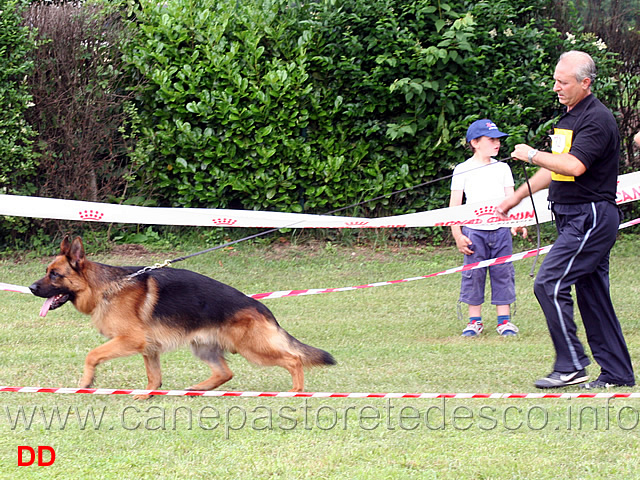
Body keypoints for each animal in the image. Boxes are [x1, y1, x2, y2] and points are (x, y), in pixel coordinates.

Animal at [30, 235, 336, 398]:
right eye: (47, 272)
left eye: (54, 275)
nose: (31, 288)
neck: (104, 287)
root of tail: (261, 307)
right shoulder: (149, 348)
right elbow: (154, 376)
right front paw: (149, 394)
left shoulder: (130, 340)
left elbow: (91, 355)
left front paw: (86, 383)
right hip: (203, 347)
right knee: (225, 372)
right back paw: (198, 388)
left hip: (253, 349)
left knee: (293, 359)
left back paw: (296, 391)